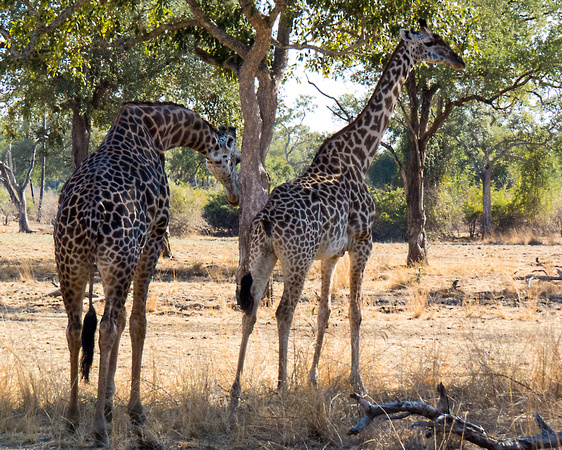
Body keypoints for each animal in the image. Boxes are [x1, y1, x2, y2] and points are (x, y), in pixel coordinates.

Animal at [54, 100, 241, 444]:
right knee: (106, 327)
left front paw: (109, 403)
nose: (235, 196)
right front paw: (134, 411)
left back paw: (72, 419)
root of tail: (88, 217)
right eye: (234, 158)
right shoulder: (156, 231)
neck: (160, 129)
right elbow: (138, 321)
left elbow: (123, 317)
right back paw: (99, 430)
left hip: (70, 262)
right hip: (118, 257)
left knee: (75, 328)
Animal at [229, 20, 464, 404]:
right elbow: (355, 313)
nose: (458, 59)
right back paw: (281, 387)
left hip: (262, 256)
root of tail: (266, 220)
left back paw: (236, 392)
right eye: (430, 42)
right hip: (296, 258)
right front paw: (359, 385)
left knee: (250, 311)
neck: (360, 156)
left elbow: (325, 312)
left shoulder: (331, 254)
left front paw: (312, 378)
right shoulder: (363, 242)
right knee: (283, 312)